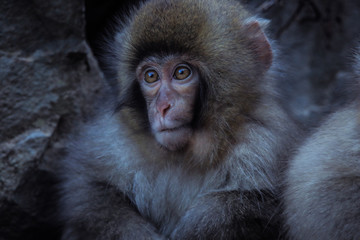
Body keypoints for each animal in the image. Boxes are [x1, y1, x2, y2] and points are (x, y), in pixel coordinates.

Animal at [59, 0, 300, 239]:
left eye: (182, 72)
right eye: (151, 76)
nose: (162, 107)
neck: (184, 155)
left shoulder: (265, 139)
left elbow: (251, 205)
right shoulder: (114, 138)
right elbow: (88, 191)